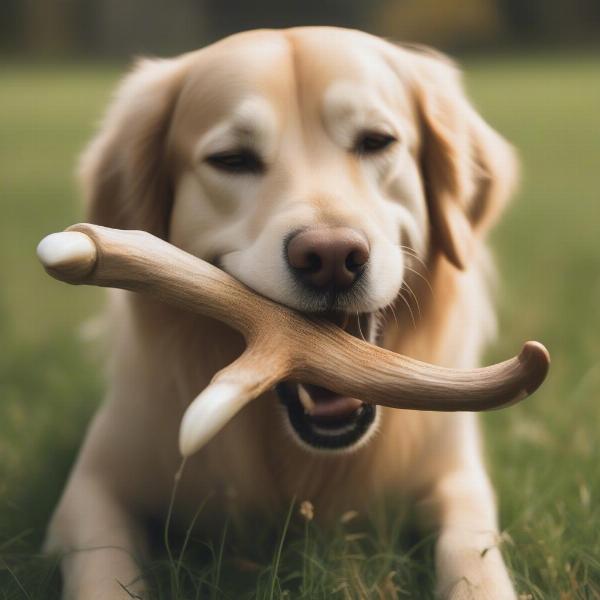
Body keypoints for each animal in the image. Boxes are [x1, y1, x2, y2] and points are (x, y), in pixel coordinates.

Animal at [44, 25, 516, 596]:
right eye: (231, 159)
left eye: (376, 141)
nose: (332, 258)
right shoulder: (92, 487)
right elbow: (101, 568)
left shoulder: (457, 477)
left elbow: (474, 555)